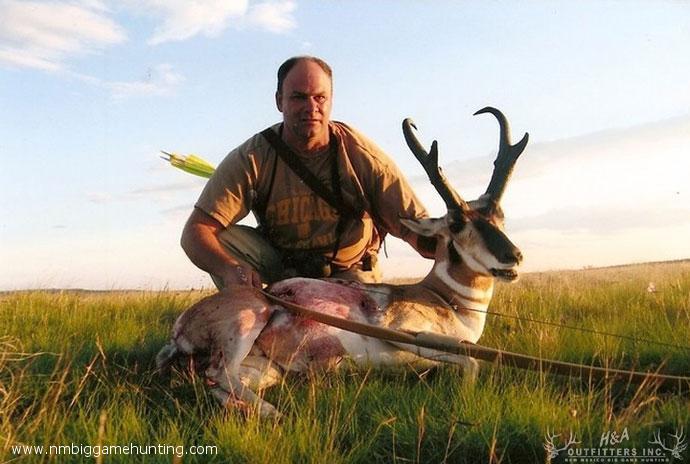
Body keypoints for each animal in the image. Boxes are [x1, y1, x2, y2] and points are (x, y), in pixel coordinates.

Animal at [157, 108, 528, 416]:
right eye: (456, 223)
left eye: (500, 216)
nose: (514, 257)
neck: (444, 300)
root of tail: (181, 327)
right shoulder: (404, 332)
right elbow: (473, 365)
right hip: (249, 321)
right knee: (219, 374)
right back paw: (279, 414)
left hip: (265, 370)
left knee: (219, 386)